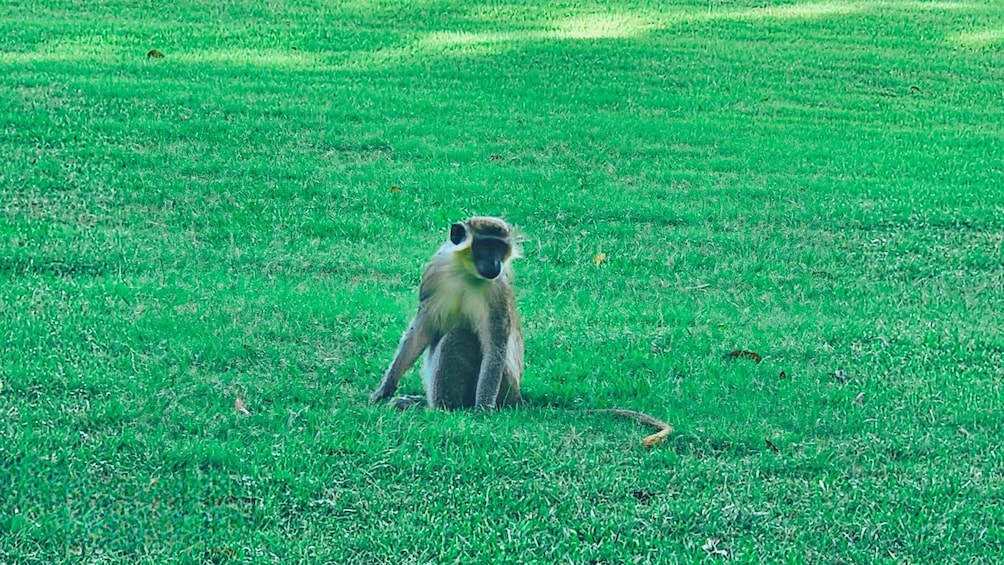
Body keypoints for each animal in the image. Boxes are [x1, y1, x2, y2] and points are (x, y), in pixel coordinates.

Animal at [369, 216, 524, 411]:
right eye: (486, 246)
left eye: (499, 247)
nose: (495, 263)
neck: (467, 273)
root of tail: (518, 398)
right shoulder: (435, 272)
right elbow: (421, 331)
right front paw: (386, 387)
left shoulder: (497, 290)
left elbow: (494, 347)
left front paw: (482, 409)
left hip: (505, 389)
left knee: (457, 336)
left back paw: (438, 408)